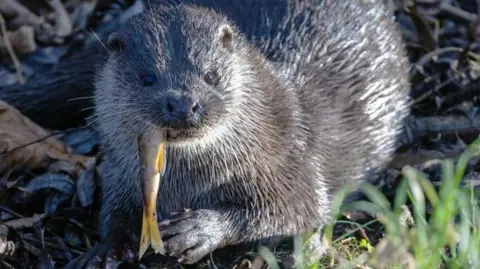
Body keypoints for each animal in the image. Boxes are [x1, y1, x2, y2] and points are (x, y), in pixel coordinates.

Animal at [62, 0, 408, 266]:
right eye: (147, 78)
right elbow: (114, 213)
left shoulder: (291, 161)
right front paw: (105, 249)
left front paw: (199, 230)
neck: (189, 184)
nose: (184, 104)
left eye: (211, 75)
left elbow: (295, 209)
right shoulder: (119, 173)